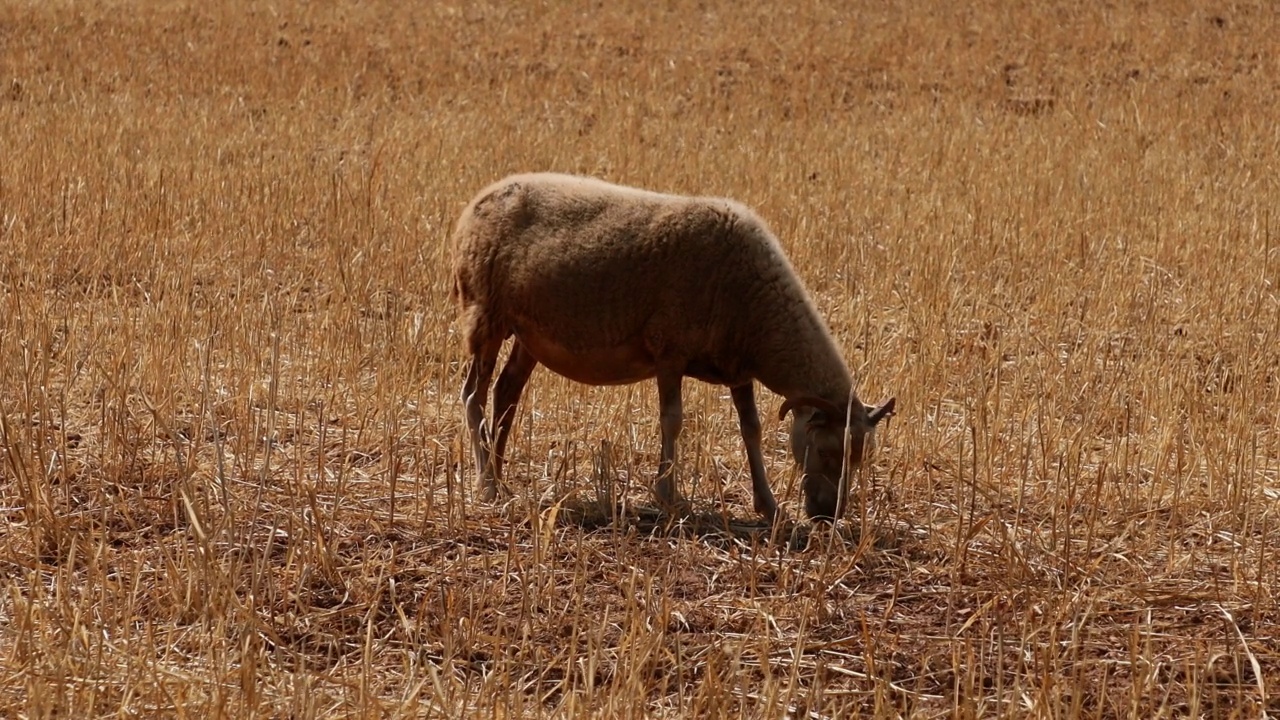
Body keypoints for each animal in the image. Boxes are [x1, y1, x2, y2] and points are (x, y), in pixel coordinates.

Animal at [455, 174, 896, 520]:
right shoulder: (669, 351)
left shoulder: (737, 368)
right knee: (473, 395)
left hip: (526, 333)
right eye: (827, 452)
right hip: (485, 313)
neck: (757, 311)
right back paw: (487, 485)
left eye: (860, 458)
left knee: (506, 395)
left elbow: (751, 430)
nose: (829, 516)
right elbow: (673, 420)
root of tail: (478, 201)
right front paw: (668, 496)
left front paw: (768, 505)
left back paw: (500, 477)